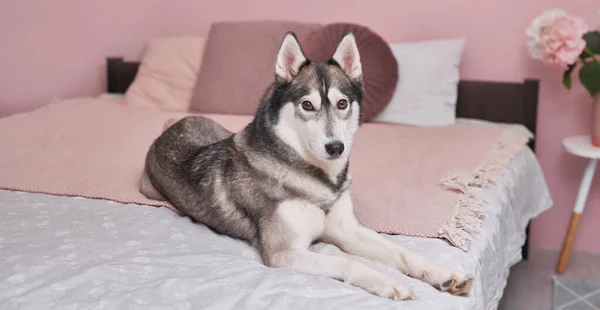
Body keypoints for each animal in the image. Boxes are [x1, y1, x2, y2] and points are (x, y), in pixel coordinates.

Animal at [141, 32, 474, 300]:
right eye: (307, 105)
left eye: (342, 104)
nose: (335, 147)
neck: (319, 179)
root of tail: (173, 125)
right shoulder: (285, 252)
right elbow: (346, 261)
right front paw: (386, 282)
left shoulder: (345, 228)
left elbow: (401, 251)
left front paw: (442, 273)